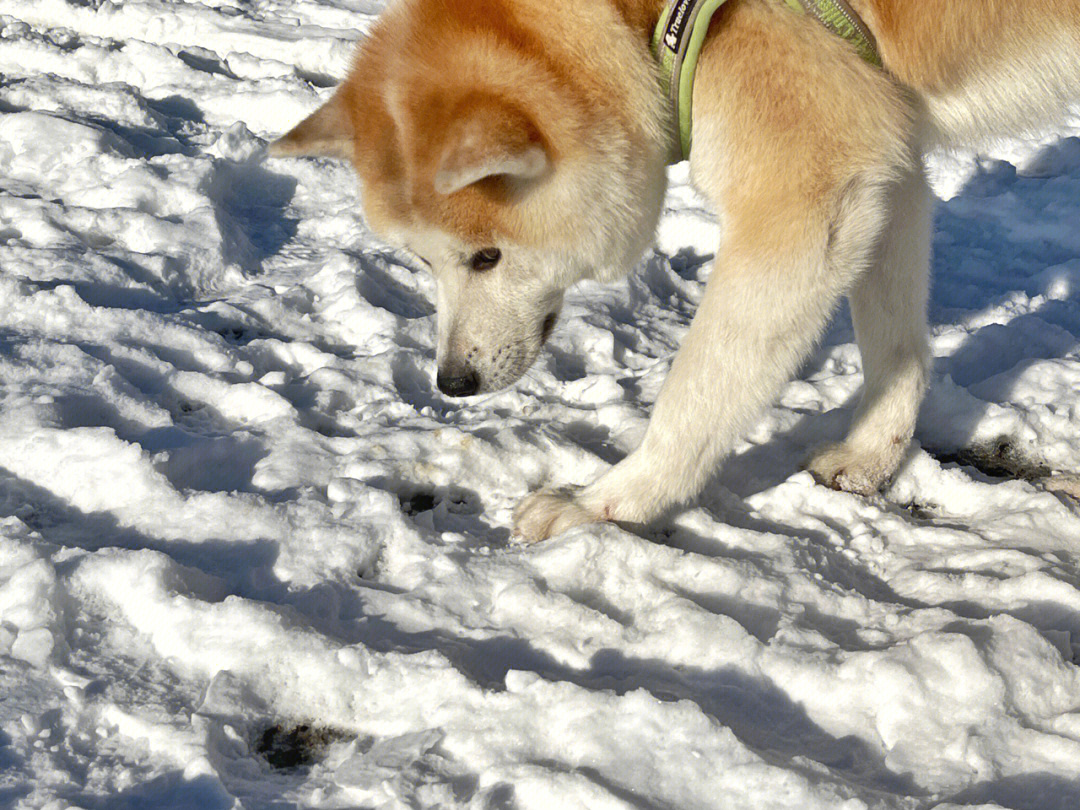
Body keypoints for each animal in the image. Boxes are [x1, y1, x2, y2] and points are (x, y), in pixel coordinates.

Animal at [272, 1, 1080, 546]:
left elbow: (694, 395)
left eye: (486, 255)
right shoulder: (882, 168)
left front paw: (608, 502)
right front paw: (870, 458)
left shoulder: (803, 204)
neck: (647, 15)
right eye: (420, 258)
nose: (453, 383)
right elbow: (895, 351)